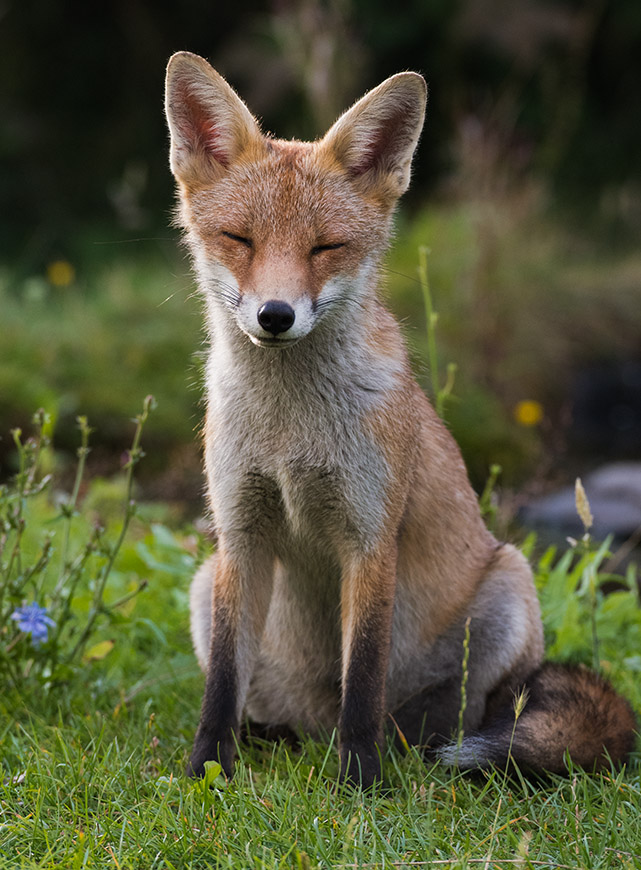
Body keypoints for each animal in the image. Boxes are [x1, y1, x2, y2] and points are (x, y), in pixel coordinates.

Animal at [164, 52, 636, 792]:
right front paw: (206, 772)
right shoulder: (240, 534)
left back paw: (427, 754)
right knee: (268, 705)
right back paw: (274, 739)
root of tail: (312, 725)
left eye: (325, 247)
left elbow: (362, 677)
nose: (275, 315)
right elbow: (220, 689)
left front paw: (358, 784)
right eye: (238, 239)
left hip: (509, 588)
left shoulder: (368, 536)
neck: (290, 434)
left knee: (469, 718)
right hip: (204, 583)